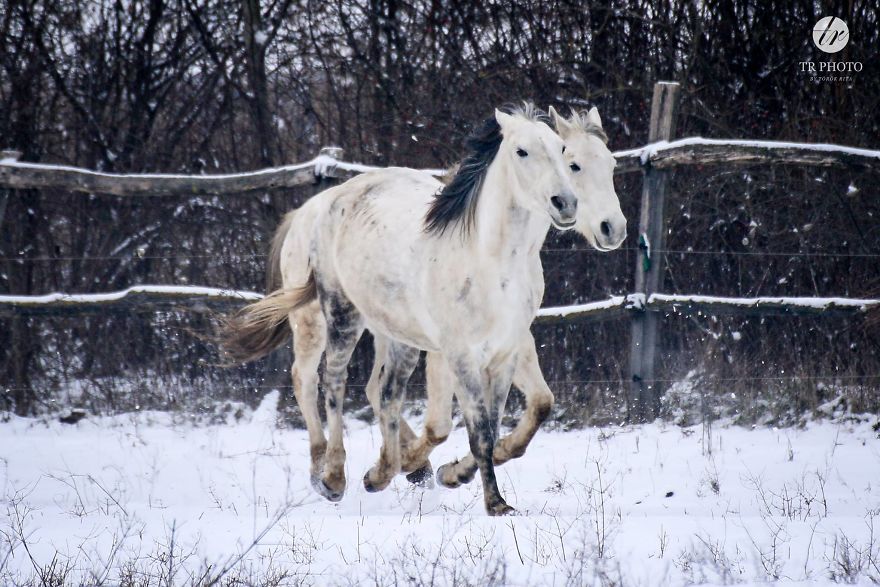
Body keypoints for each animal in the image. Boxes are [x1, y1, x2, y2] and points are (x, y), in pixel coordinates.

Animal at [221, 105, 625, 515]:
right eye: (522, 152)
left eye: (607, 163)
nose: (611, 227)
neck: (490, 259)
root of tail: (316, 207)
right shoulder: (457, 353)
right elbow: (466, 428)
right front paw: (492, 502)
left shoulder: (506, 348)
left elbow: (519, 413)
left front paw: (449, 472)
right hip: (329, 317)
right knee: (321, 381)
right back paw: (331, 474)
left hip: (392, 330)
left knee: (380, 391)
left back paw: (392, 470)